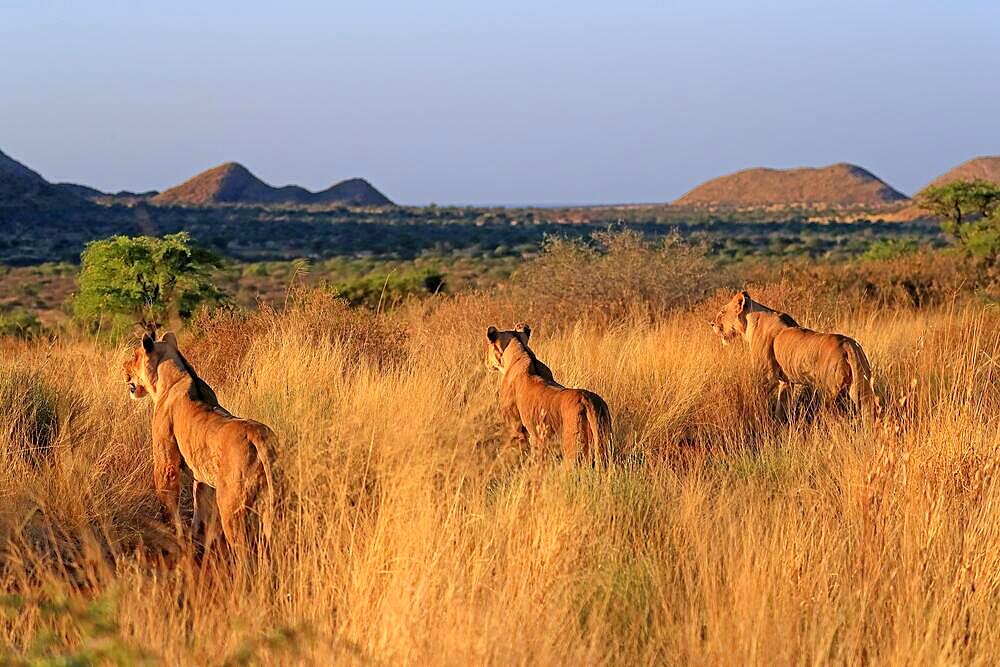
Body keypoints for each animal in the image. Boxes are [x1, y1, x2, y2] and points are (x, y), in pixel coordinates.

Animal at [123, 330, 278, 552]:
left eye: (134, 357)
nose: (123, 367)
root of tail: (257, 433)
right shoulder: (200, 474)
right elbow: (199, 505)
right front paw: (195, 536)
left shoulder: (166, 461)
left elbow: (167, 498)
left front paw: (171, 534)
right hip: (268, 502)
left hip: (230, 504)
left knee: (243, 549)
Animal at [712, 290, 876, 420]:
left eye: (722, 312)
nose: (712, 324)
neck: (748, 323)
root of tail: (848, 344)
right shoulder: (786, 381)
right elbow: (782, 406)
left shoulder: (767, 375)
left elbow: (759, 394)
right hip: (860, 384)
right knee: (869, 409)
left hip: (830, 390)